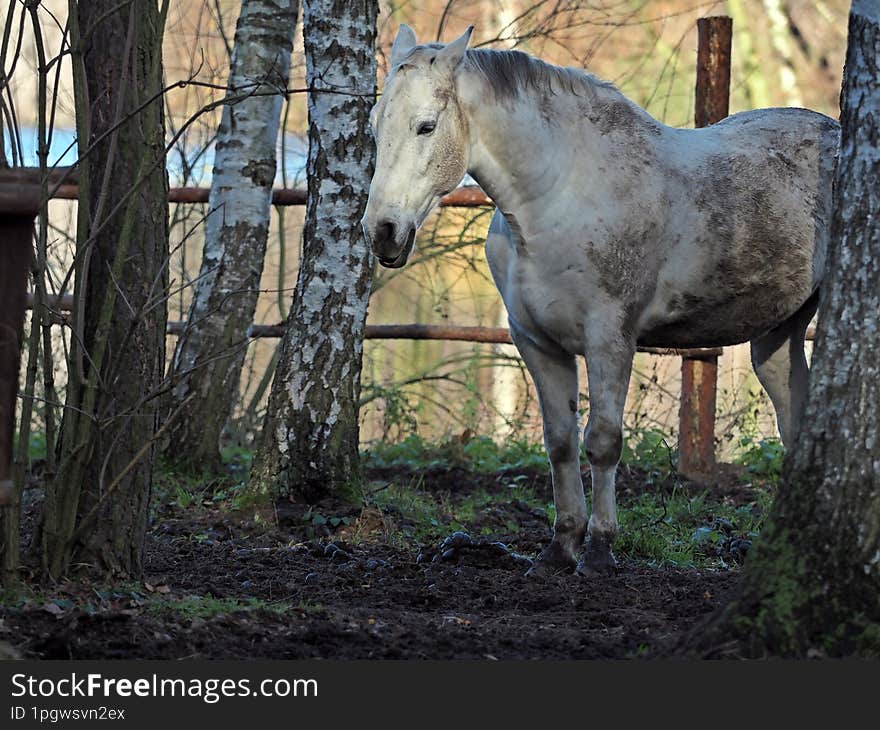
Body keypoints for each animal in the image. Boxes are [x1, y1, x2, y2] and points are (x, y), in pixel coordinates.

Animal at [362, 25, 840, 576]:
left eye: (426, 126)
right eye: (375, 127)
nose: (383, 232)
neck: (561, 194)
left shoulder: (610, 339)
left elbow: (604, 441)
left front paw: (598, 548)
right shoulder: (537, 343)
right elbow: (560, 443)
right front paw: (560, 546)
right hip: (778, 336)